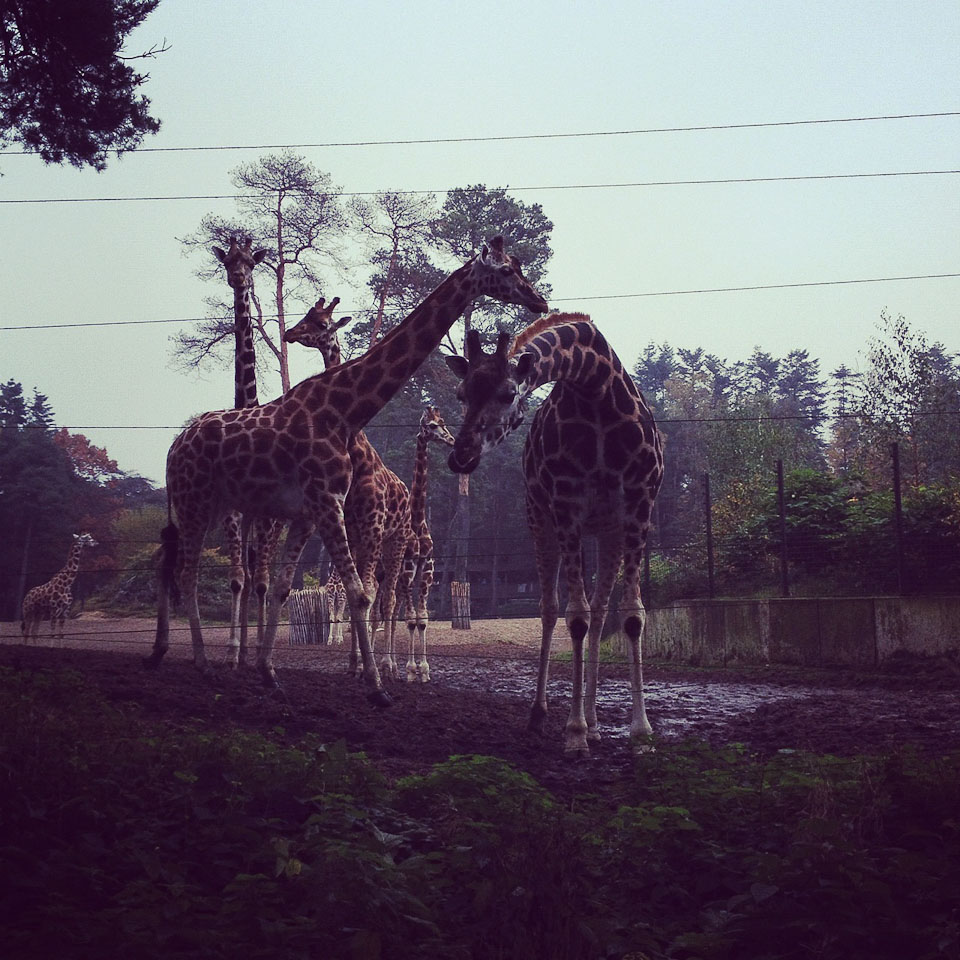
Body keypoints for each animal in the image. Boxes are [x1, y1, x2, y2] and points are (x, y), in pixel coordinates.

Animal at [284, 296, 416, 680]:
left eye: (320, 322)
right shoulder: (355, 530)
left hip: (396, 541)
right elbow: (355, 593)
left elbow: (369, 596)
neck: (359, 451)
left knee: (390, 600)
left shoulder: (372, 530)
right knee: (378, 597)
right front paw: (354, 665)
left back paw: (391, 665)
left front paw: (376, 666)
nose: (290, 332)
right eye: (306, 316)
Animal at [446, 316, 664, 756]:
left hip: (608, 532)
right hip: (539, 518)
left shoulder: (639, 506)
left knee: (600, 612)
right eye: (461, 393)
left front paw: (640, 732)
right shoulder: (566, 506)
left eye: (507, 393)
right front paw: (574, 733)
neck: (595, 388)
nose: (460, 456)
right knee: (549, 609)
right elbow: (574, 616)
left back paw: (597, 723)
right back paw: (541, 714)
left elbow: (631, 615)